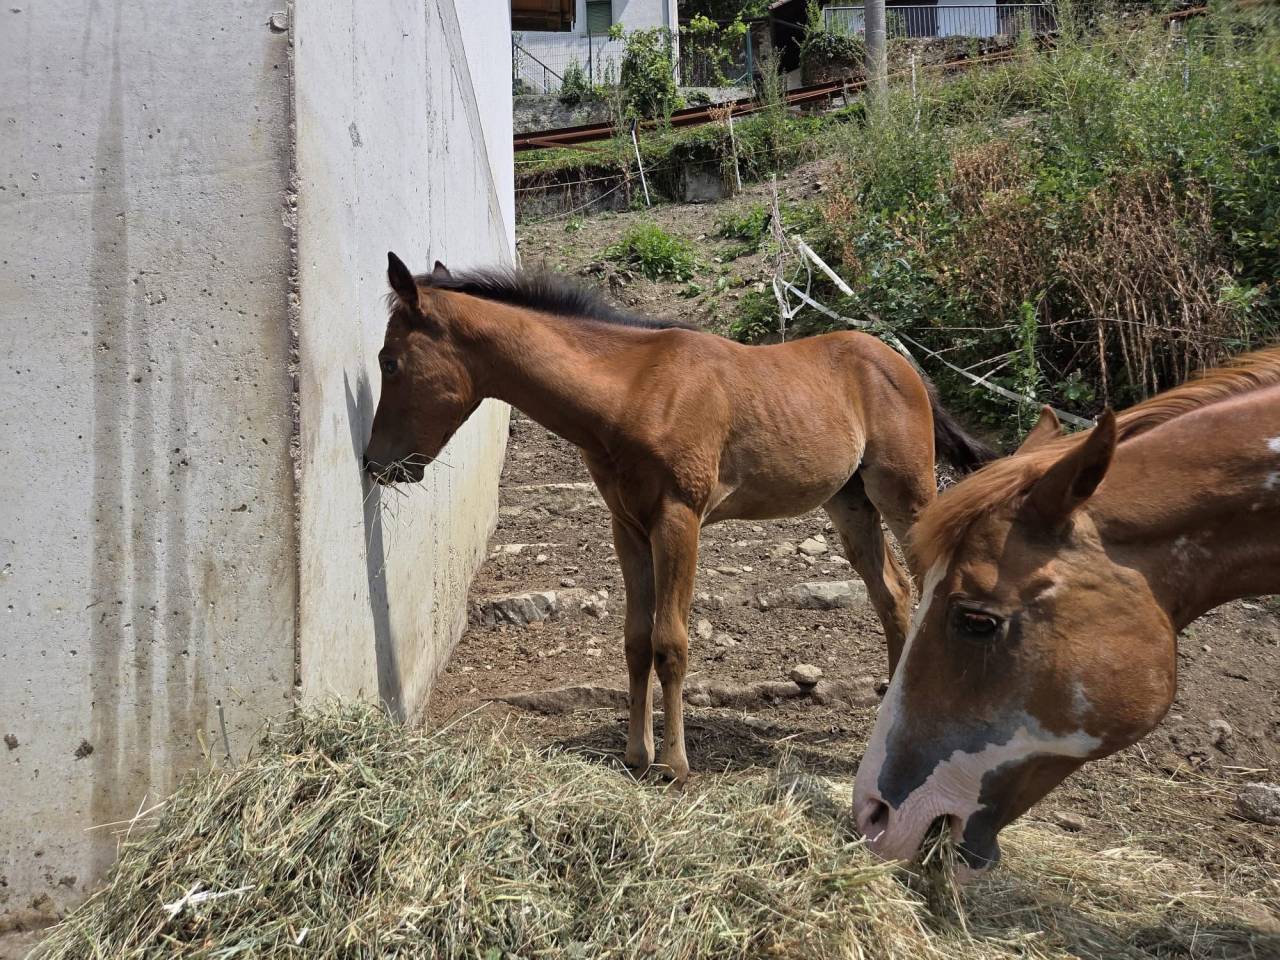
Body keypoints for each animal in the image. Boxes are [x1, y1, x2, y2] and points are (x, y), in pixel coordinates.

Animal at [364, 252, 995, 782]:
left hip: (905, 497)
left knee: (926, 584)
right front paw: (635, 753)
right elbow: (636, 640)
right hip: (850, 503)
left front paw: (673, 762)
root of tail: (904, 365)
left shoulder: (678, 519)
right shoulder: (627, 526)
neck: (631, 391)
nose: (375, 463)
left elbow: (671, 641)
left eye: (389, 362)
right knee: (892, 592)